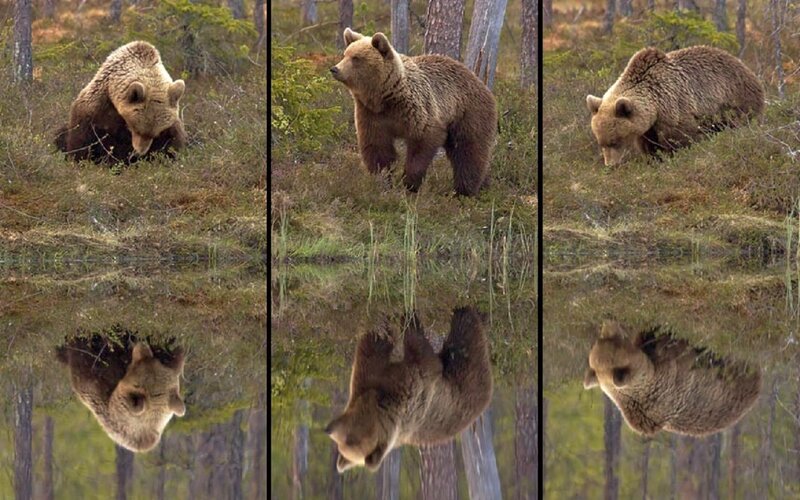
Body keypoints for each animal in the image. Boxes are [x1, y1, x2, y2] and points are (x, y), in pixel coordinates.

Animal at [55, 41, 187, 164]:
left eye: (155, 134)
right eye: (137, 130)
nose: (139, 152)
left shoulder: (171, 126)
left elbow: (172, 145)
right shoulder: (95, 111)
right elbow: (82, 141)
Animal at [325, 307, 492, 472]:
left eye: (346, 438)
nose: (328, 428)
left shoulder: (383, 380)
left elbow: (377, 346)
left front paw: (399, 319)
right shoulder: (407, 394)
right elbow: (419, 358)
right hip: (463, 387)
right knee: (465, 343)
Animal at [330, 29, 497, 196]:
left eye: (356, 58)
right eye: (345, 54)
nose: (335, 69)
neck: (385, 96)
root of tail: (480, 82)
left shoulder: (416, 109)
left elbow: (422, 144)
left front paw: (409, 184)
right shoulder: (371, 114)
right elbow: (377, 147)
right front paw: (382, 181)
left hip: (469, 113)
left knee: (468, 151)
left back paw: (464, 191)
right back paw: (483, 185)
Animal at [586, 45, 764, 166]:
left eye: (615, 141)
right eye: (601, 142)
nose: (611, 165)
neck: (655, 103)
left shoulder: (675, 106)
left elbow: (680, 138)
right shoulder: (648, 127)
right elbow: (649, 145)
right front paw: (654, 159)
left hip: (736, 100)